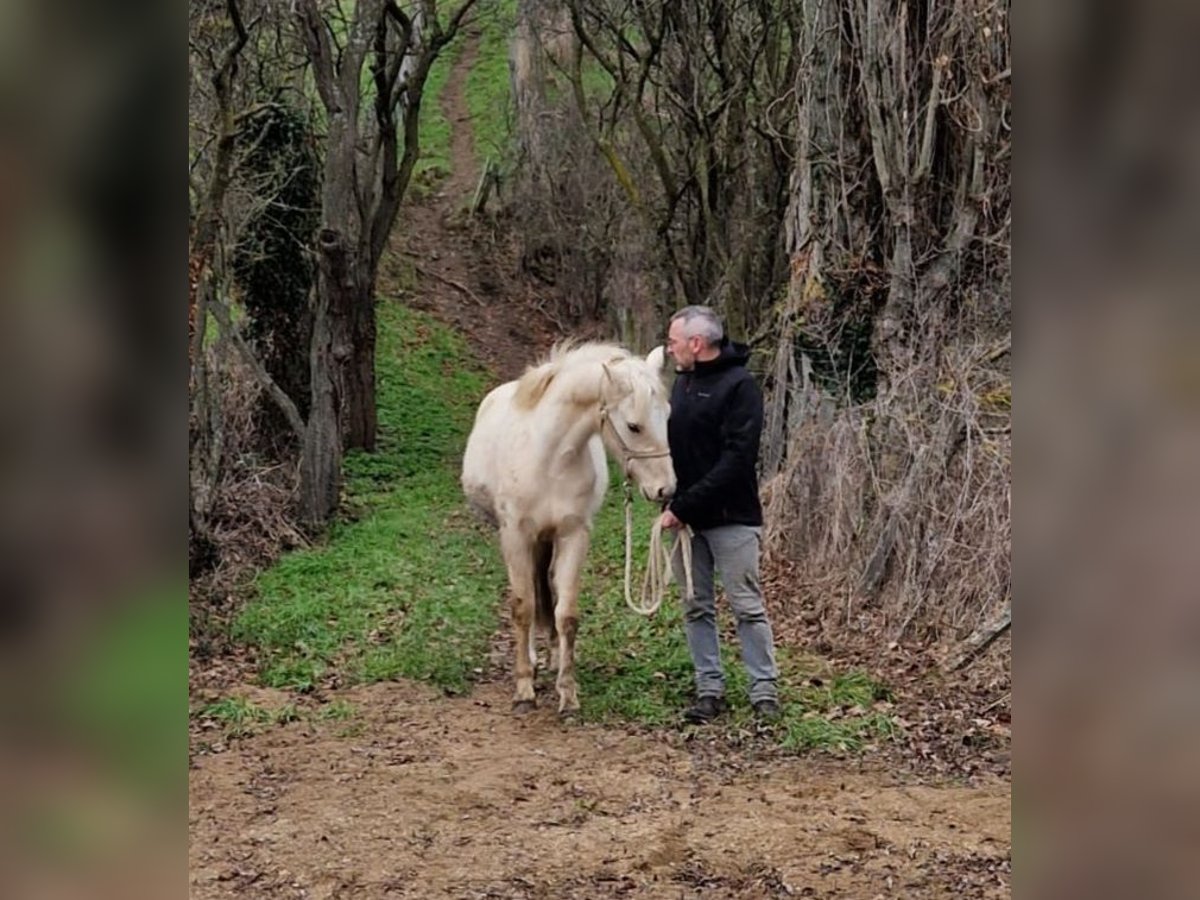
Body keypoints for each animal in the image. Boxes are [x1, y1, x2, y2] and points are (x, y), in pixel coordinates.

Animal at [463, 343, 676, 720]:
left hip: (547, 540)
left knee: (546, 586)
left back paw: (549, 656)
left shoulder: (573, 535)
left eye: (666, 416)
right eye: (633, 426)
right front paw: (523, 690)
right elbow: (522, 607)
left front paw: (568, 694)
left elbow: (566, 615)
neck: (549, 457)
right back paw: (533, 661)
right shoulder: (516, 535)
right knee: (531, 595)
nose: (666, 490)